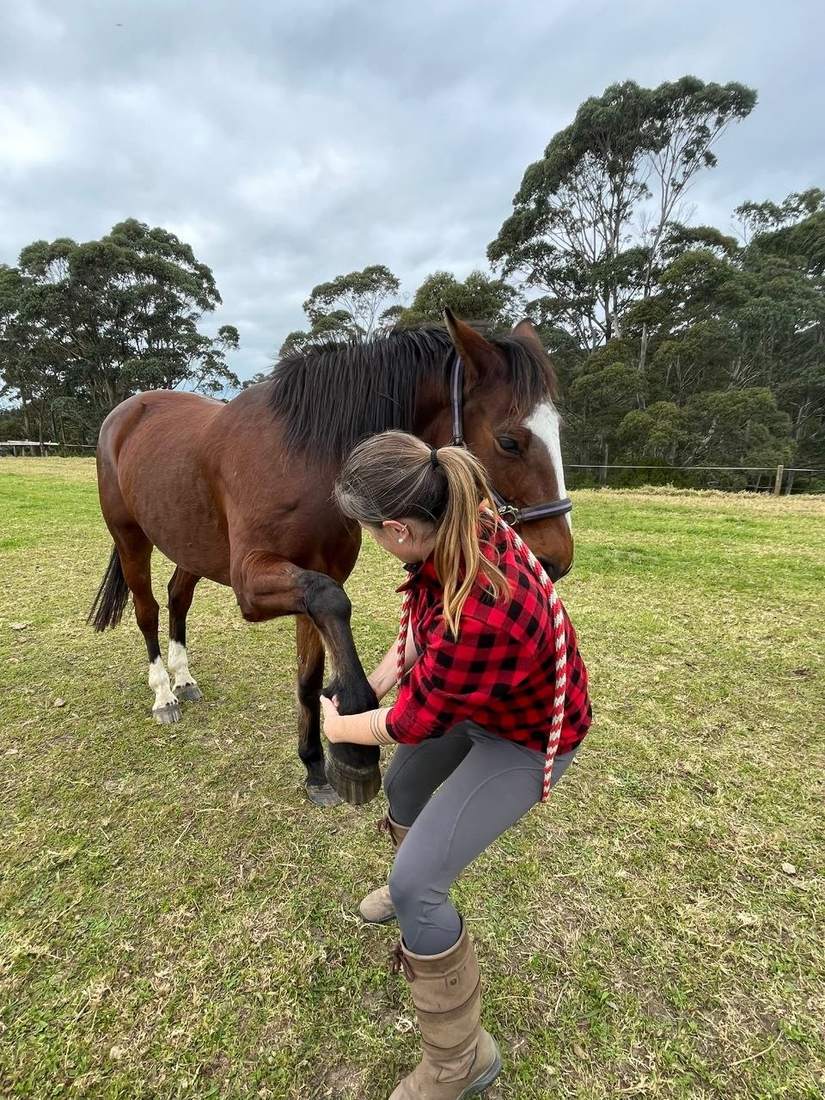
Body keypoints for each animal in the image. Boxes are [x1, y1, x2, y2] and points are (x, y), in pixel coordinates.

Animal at [88, 310, 574, 807]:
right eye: (509, 442)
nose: (557, 558)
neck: (303, 457)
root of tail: (125, 412)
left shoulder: (312, 577)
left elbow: (309, 674)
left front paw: (315, 766)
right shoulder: (257, 581)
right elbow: (332, 603)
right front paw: (354, 742)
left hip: (192, 546)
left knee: (177, 598)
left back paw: (183, 679)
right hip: (131, 539)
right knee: (147, 610)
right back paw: (164, 694)